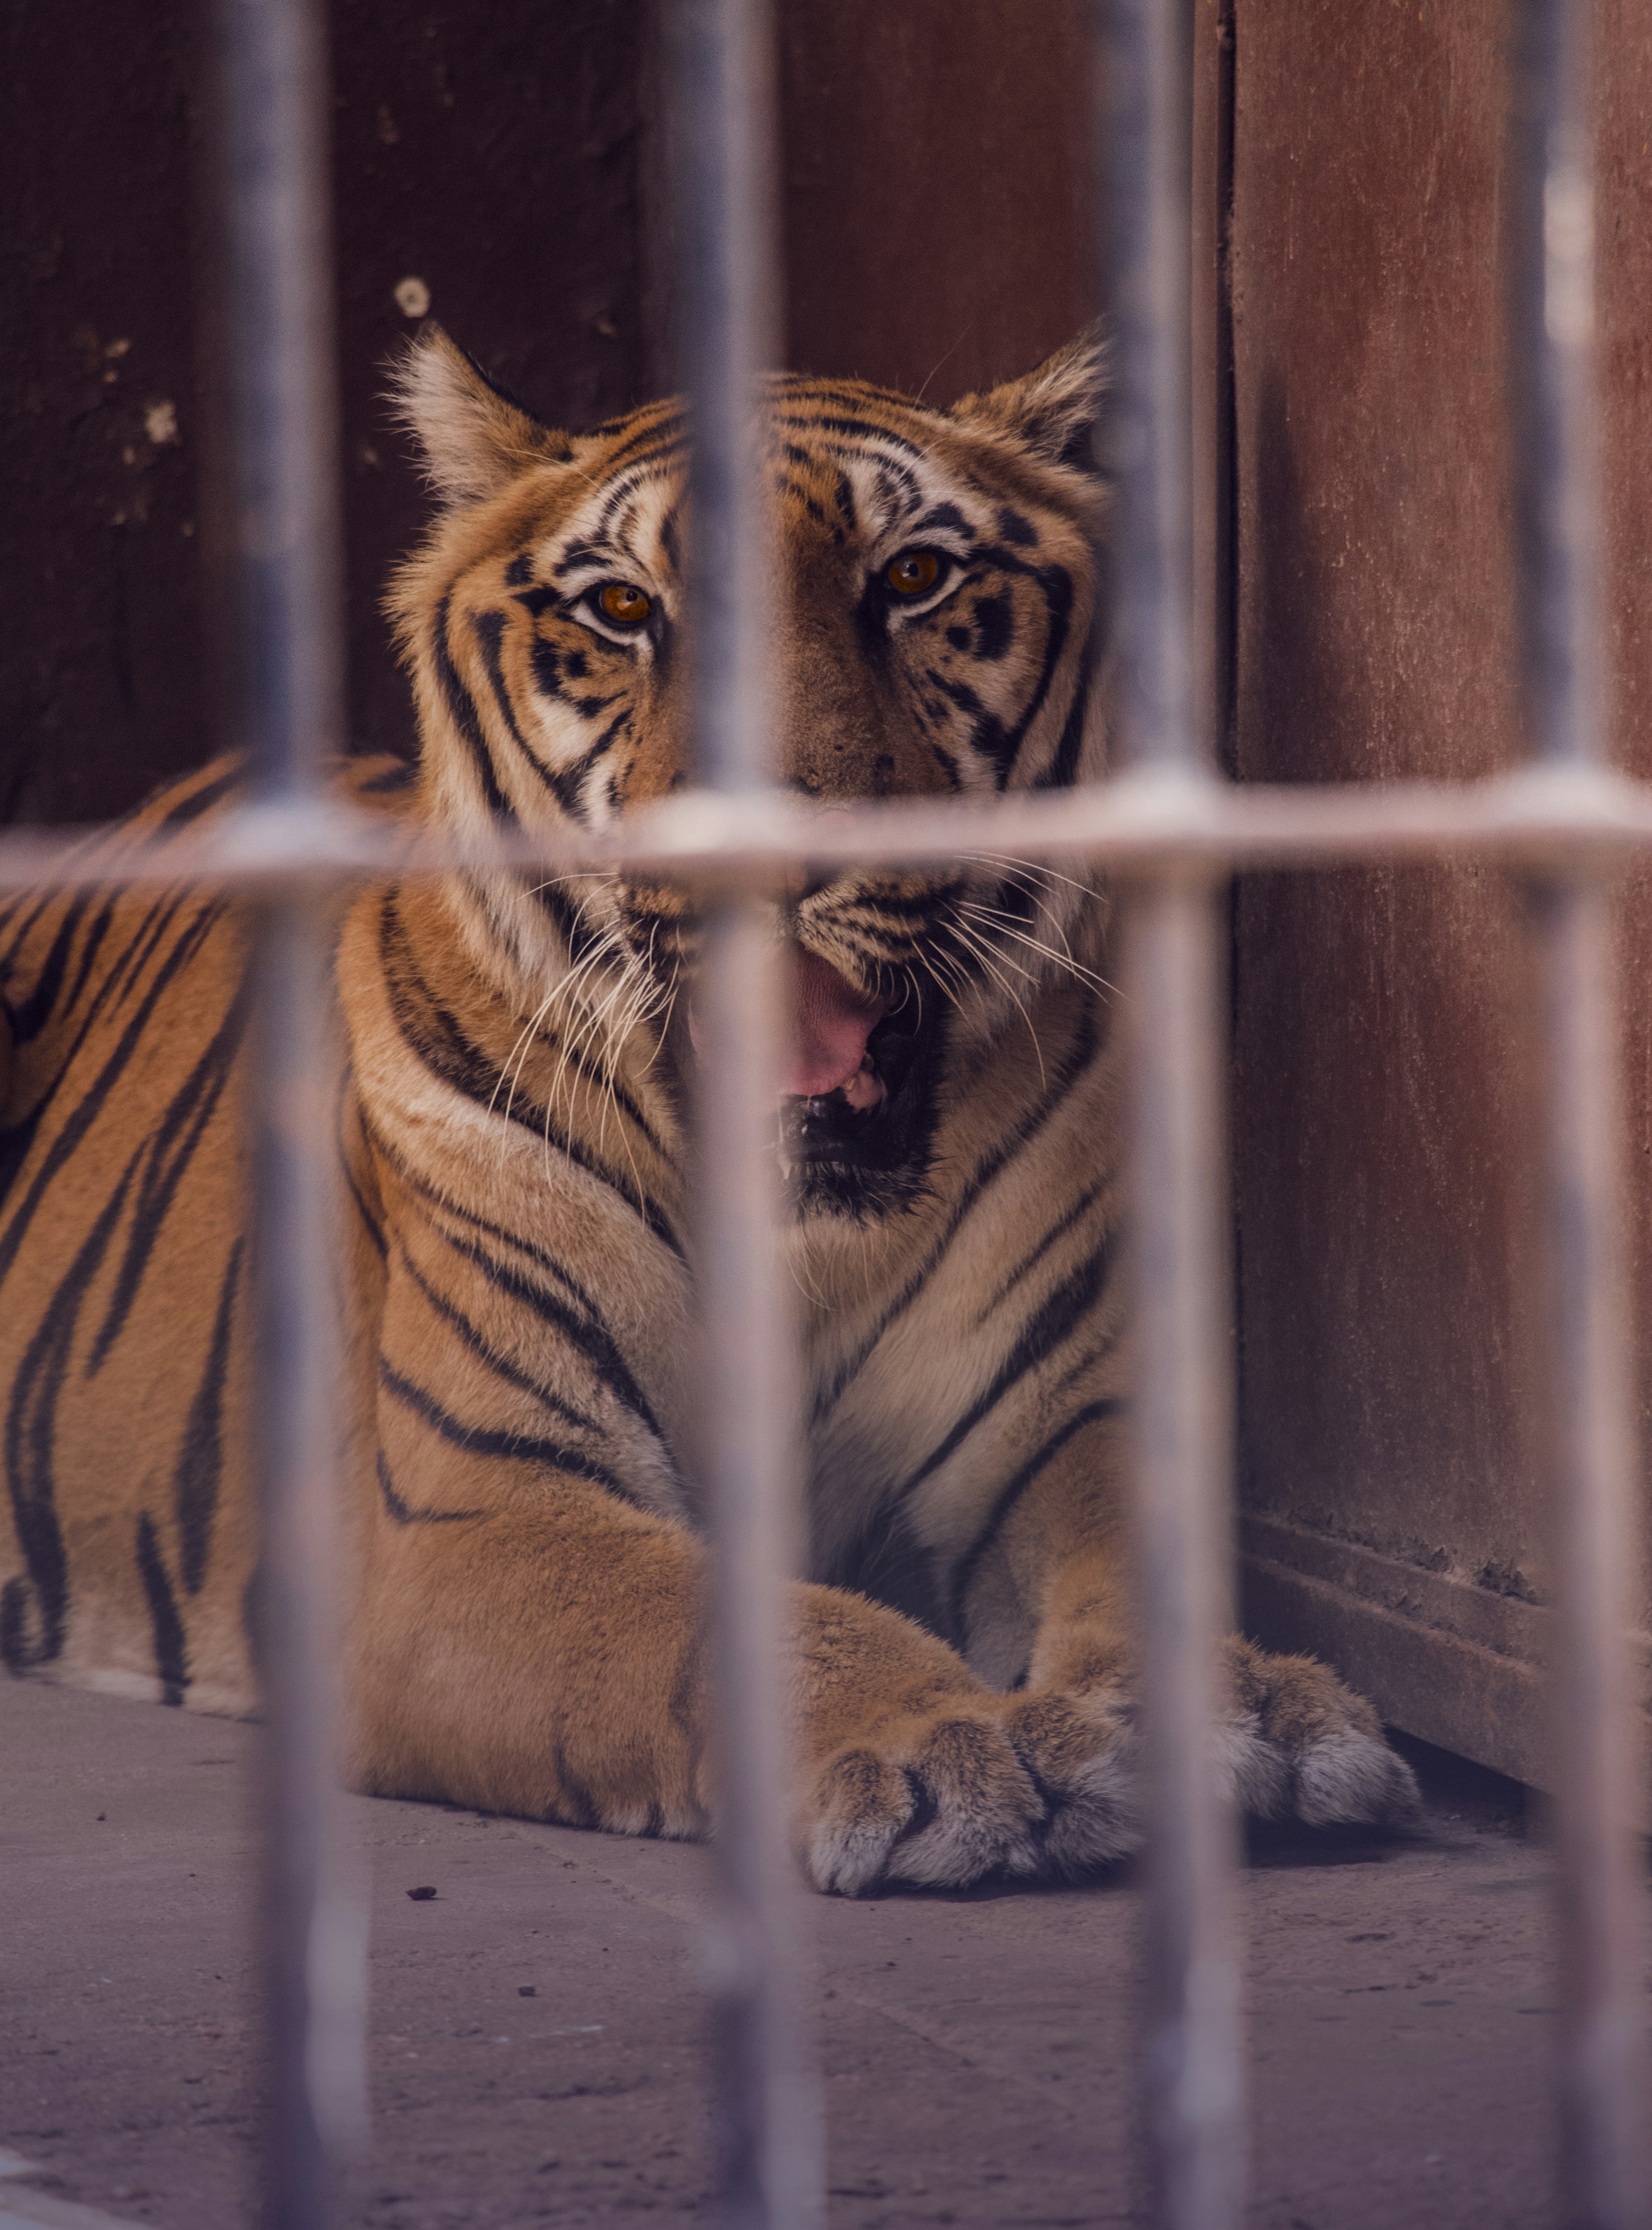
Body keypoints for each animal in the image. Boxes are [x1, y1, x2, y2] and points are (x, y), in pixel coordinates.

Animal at [0, 326, 1418, 1893]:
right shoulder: (485, 1509)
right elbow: (744, 1627)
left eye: (913, 577)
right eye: (624, 608)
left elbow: (1135, 1568)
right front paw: (944, 1742)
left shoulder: (1062, 1429)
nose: (779, 847)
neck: (812, 1235)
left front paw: (1249, 1715)